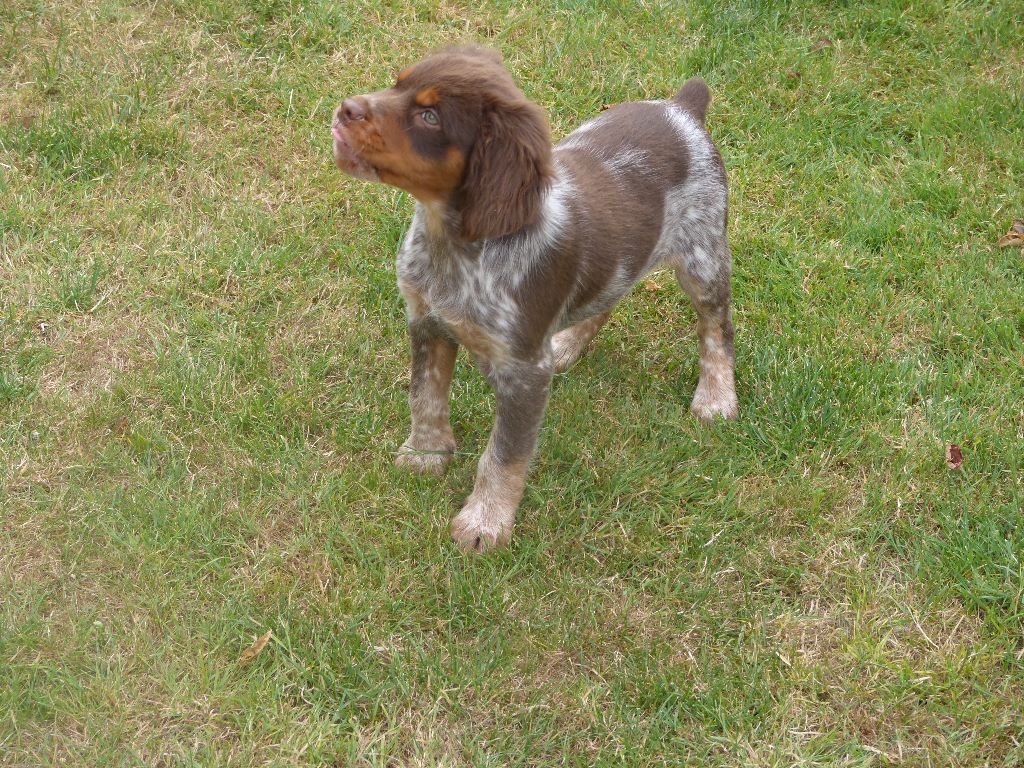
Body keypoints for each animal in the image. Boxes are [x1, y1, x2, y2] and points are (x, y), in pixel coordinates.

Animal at [332, 47, 737, 552]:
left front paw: (485, 521)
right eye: (396, 83)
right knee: (609, 294)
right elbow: (425, 396)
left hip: (703, 257)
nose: (345, 108)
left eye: (429, 116)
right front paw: (426, 453)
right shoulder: (427, 321)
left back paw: (717, 396)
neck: (457, 247)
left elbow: (503, 454)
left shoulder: (524, 372)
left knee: (716, 327)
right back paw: (567, 343)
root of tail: (682, 108)